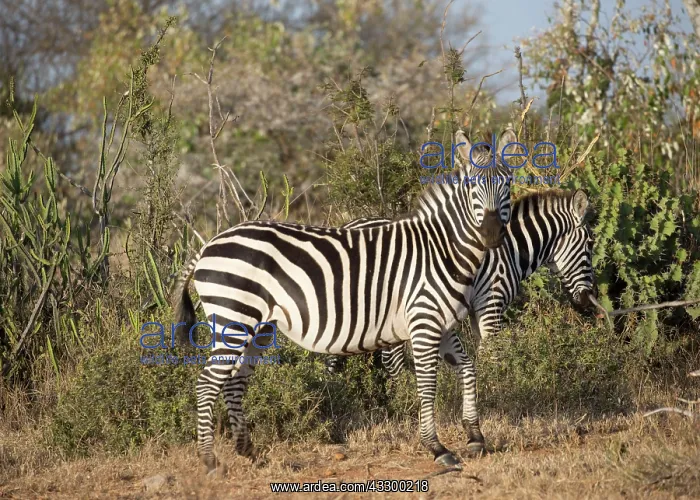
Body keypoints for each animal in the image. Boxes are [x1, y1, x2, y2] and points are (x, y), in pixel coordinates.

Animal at [171, 129, 517, 473]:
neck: (442, 249)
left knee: (234, 381)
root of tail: (209, 245)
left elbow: (468, 368)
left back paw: (247, 450)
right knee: (207, 383)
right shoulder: (424, 322)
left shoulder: (442, 325)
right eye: (472, 187)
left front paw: (475, 436)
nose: (491, 235)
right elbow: (428, 385)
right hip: (234, 319)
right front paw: (437, 448)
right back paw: (210, 460)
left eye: (508, 184)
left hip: (258, 327)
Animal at [325, 189, 596, 378]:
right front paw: (499, 386)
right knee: (388, 358)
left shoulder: (478, 309)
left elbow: (484, 349)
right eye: (590, 245)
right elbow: (492, 351)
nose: (586, 303)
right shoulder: (491, 301)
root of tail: (347, 224)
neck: (511, 251)